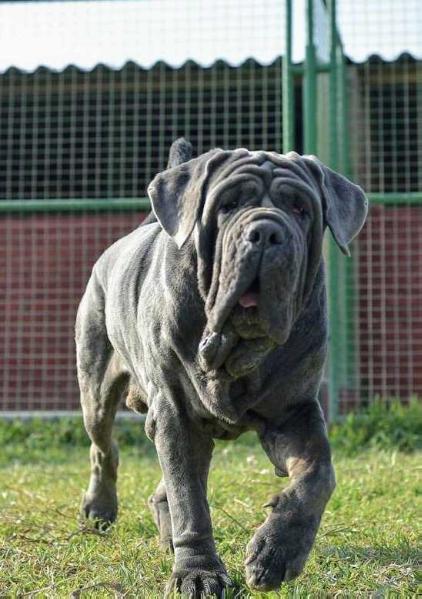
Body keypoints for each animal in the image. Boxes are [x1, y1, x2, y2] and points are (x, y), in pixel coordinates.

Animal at [77, 139, 368, 596]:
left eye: (301, 207)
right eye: (228, 205)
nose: (266, 232)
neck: (236, 348)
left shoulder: (295, 412)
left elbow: (317, 475)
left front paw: (275, 553)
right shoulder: (176, 414)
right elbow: (190, 502)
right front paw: (197, 574)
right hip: (96, 387)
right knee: (104, 449)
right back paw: (99, 509)